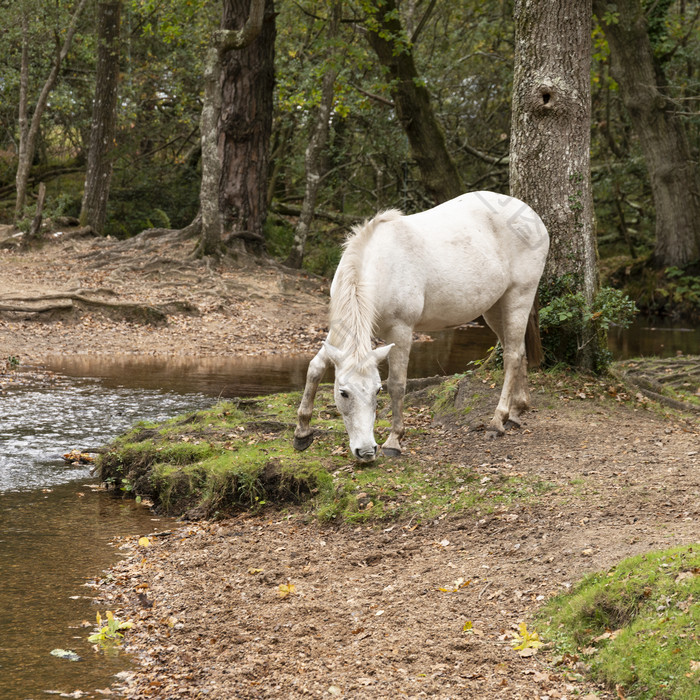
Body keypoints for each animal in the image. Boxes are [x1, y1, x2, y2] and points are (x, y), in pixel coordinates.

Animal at [292, 190, 548, 460]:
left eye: (376, 391)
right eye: (343, 393)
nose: (366, 451)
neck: (382, 266)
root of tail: (531, 215)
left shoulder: (401, 331)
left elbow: (397, 384)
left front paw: (394, 440)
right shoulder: (338, 331)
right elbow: (315, 367)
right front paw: (302, 432)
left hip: (518, 297)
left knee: (511, 356)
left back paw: (498, 421)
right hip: (494, 308)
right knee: (518, 351)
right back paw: (517, 411)